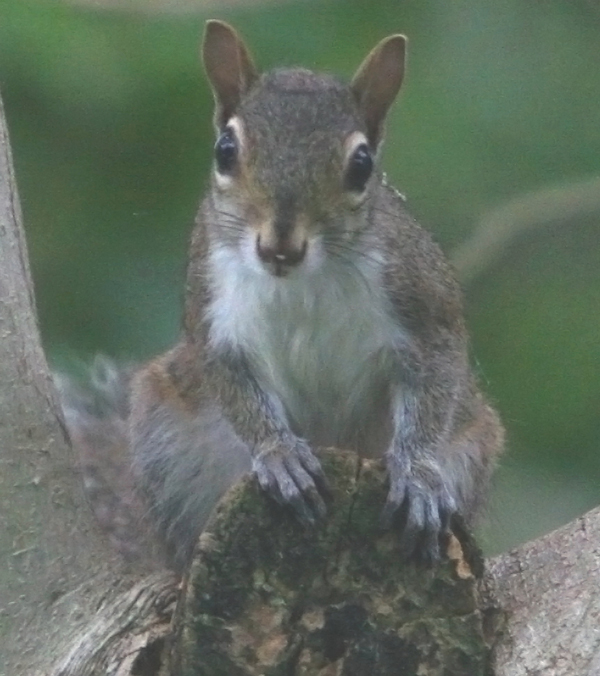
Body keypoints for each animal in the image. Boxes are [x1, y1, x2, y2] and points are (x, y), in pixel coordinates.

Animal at [58, 19, 504, 572]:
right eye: (225, 150)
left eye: (363, 165)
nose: (279, 246)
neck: (302, 281)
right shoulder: (212, 316)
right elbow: (235, 388)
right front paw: (280, 454)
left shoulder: (425, 306)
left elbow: (436, 381)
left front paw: (418, 474)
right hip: (168, 442)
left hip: (471, 442)